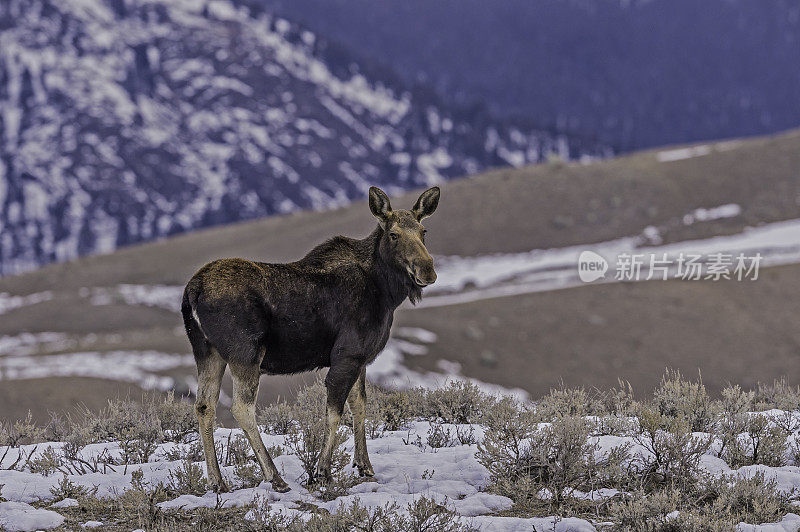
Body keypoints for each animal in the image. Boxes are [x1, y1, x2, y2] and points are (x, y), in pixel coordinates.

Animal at [181, 186, 440, 490]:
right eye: (394, 234)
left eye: (424, 231)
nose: (427, 270)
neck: (386, 292)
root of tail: (192, 291)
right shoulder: (347, 354)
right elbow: (335, 411)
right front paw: (322, 471)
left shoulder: (360, 358)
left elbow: (359, 405)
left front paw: (364, 466)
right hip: (245, 353)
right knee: (242, 408)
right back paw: (275, 477)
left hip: (207, 352)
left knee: (204, 405)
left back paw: (217, 481)